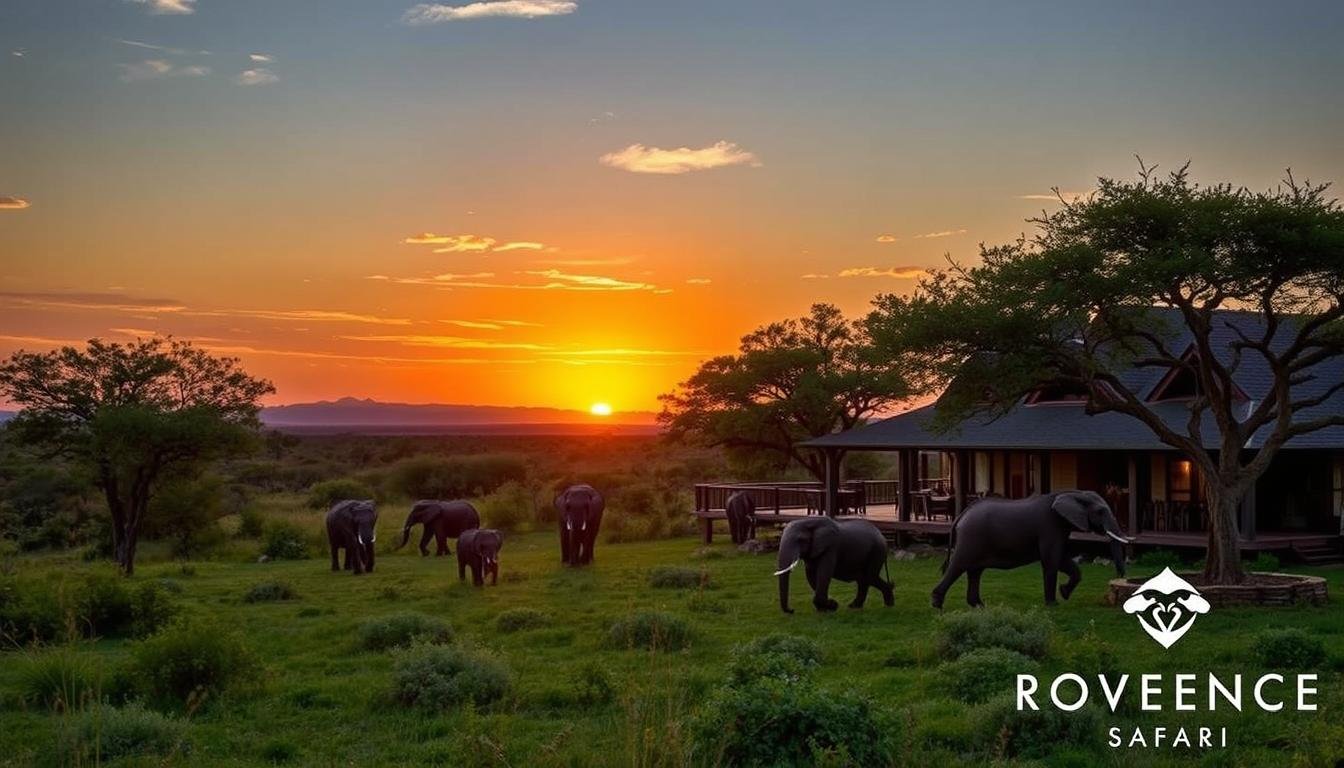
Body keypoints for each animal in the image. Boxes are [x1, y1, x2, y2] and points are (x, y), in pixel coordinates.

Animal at [935, 489, 1134, 610]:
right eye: (1100, 512)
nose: (1120, 576)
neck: (1072, 493)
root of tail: (961, 515)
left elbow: (1063, 560)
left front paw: (1064, 593)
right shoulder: (1049, 526)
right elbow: (1051, 560)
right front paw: (1053, 605)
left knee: (975, 571)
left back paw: (979, 606)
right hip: (971, 538)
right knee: (958, 566)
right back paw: (937, 605)